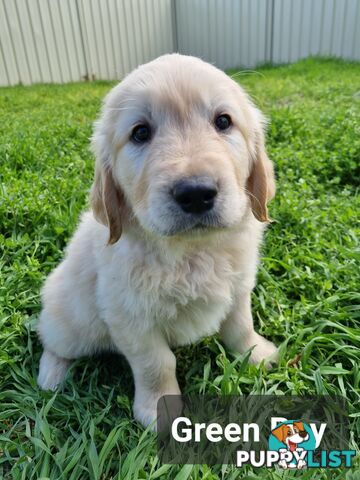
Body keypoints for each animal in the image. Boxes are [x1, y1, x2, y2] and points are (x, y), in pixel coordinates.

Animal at [36, 53, 278, 428]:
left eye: (223, 121)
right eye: (140, 133)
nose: (196, 193)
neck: (192, 250)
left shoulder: (238, 287)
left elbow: (241, 325)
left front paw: (257, 354)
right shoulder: (130, 315)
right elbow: (157, 363)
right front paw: (158, 410)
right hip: (72, 319)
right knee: (52, 338)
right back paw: (51, 374)